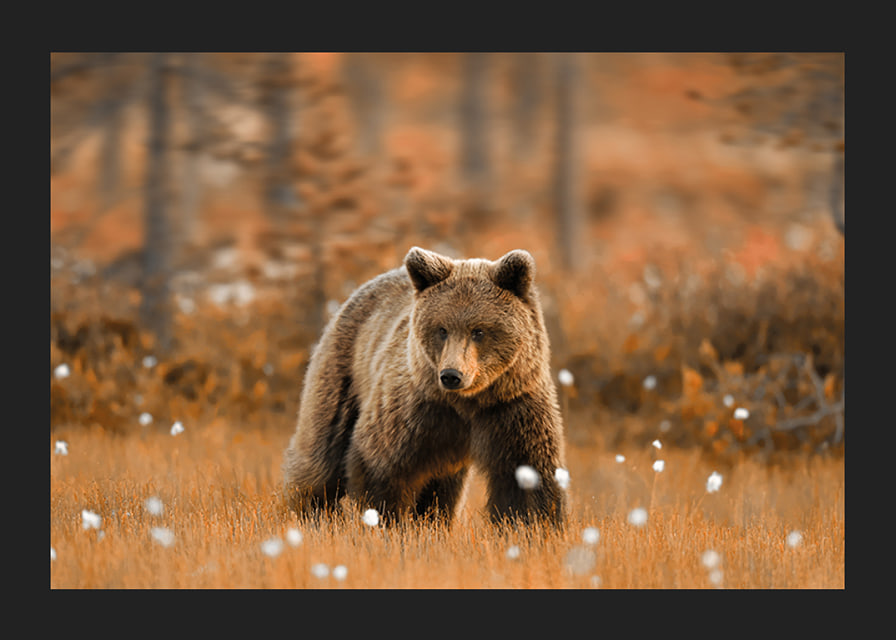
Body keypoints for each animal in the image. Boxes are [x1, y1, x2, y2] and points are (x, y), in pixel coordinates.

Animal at [281, 247, 567, 527]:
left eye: (479, 330)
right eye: (441, 329)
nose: (451, 375)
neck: (468, 402)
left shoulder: (513, 406)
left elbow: (527, 476)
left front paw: (531, 524)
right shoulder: (415, 408)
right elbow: (381, 465)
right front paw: (388, 521)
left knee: (443, 488)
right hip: (342, 374)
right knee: (322, 452)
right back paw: (311, 511)